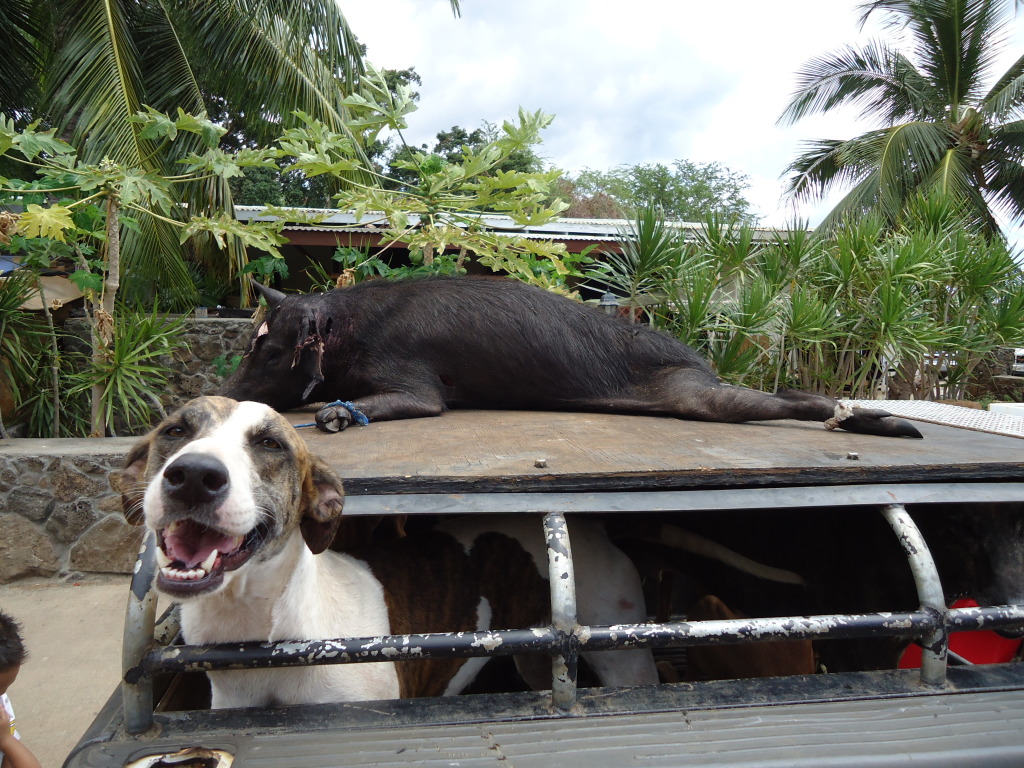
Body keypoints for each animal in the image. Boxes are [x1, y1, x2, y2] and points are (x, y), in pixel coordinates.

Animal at [117, 399, 655, 712]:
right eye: (173, 431)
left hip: (625, 657)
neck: (268, 640)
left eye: (270, 443)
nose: (193, 475)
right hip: (534, 660)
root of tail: (589, 523)